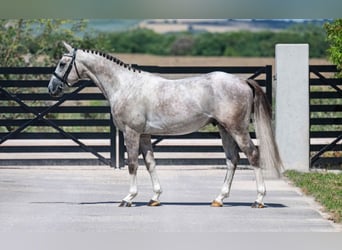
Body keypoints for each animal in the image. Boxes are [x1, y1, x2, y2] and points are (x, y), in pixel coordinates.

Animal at [48, 42, 284, 208]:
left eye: (62, 63)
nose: (52, 88)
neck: (126, 85)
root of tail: (242, 81)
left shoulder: (132, 133)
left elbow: (132, 164)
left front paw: (128, 198)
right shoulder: (144, 135)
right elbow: (150, 163)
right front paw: (154, 197)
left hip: (237, 129)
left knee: (253, 155)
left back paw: (259, 200)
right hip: (224, 129)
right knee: (232, 160)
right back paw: (219, 198)